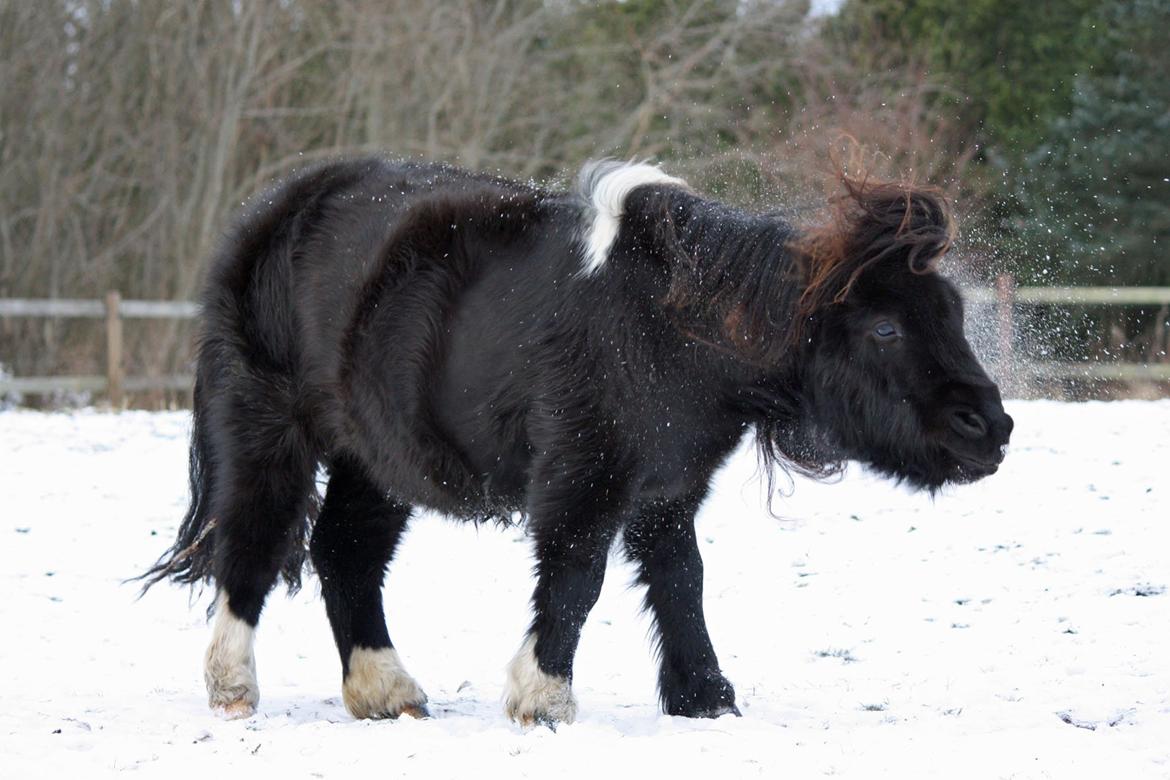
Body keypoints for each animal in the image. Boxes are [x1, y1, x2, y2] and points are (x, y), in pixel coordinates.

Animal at [139, 156, 1015, 725]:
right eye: (885, 326)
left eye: (952, 312)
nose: (993, 427)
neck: (667, 329)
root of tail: (275, 210)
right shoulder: (584, 476)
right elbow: (575, 579)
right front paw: (543, 697)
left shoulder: (667, 486)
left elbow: (682, 580)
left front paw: (705, 698)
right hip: (267, 430)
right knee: (253, 543)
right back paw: (233, 689)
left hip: (374, 460)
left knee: (345, 552)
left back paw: (385, 691)